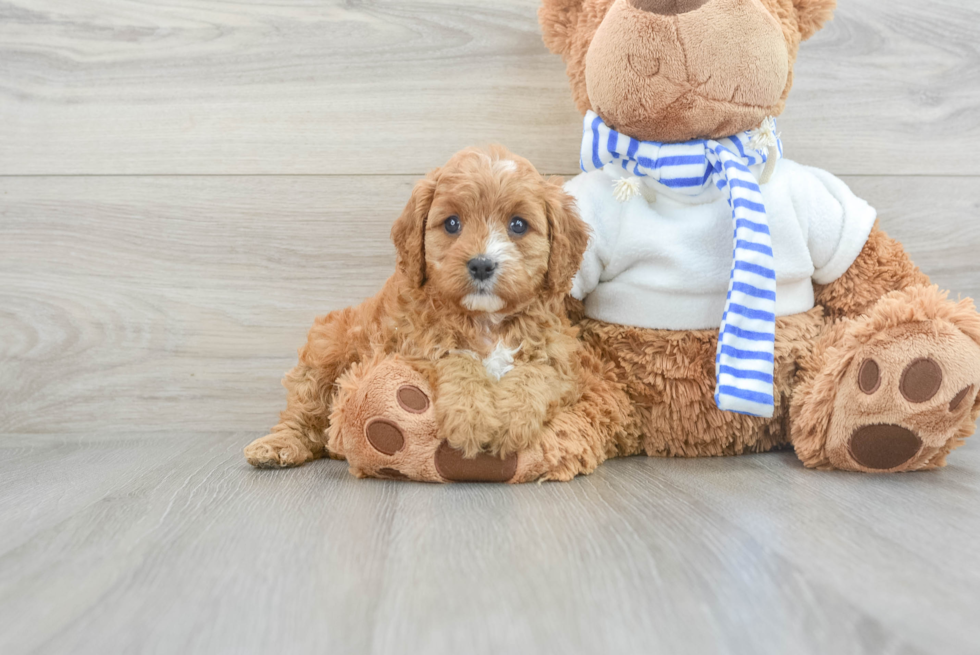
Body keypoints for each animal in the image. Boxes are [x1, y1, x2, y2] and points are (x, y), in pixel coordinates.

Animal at [242, 147, 632, 482]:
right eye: (452, 224)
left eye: (518, 225)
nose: (481, 264)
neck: (487, 321)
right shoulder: (412, 344)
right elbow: (457, 360)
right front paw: (472, 417)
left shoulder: (561, 358)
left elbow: (536, 373)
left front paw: (512, 419)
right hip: (328, 346)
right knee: (303, 411)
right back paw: (277, 446)